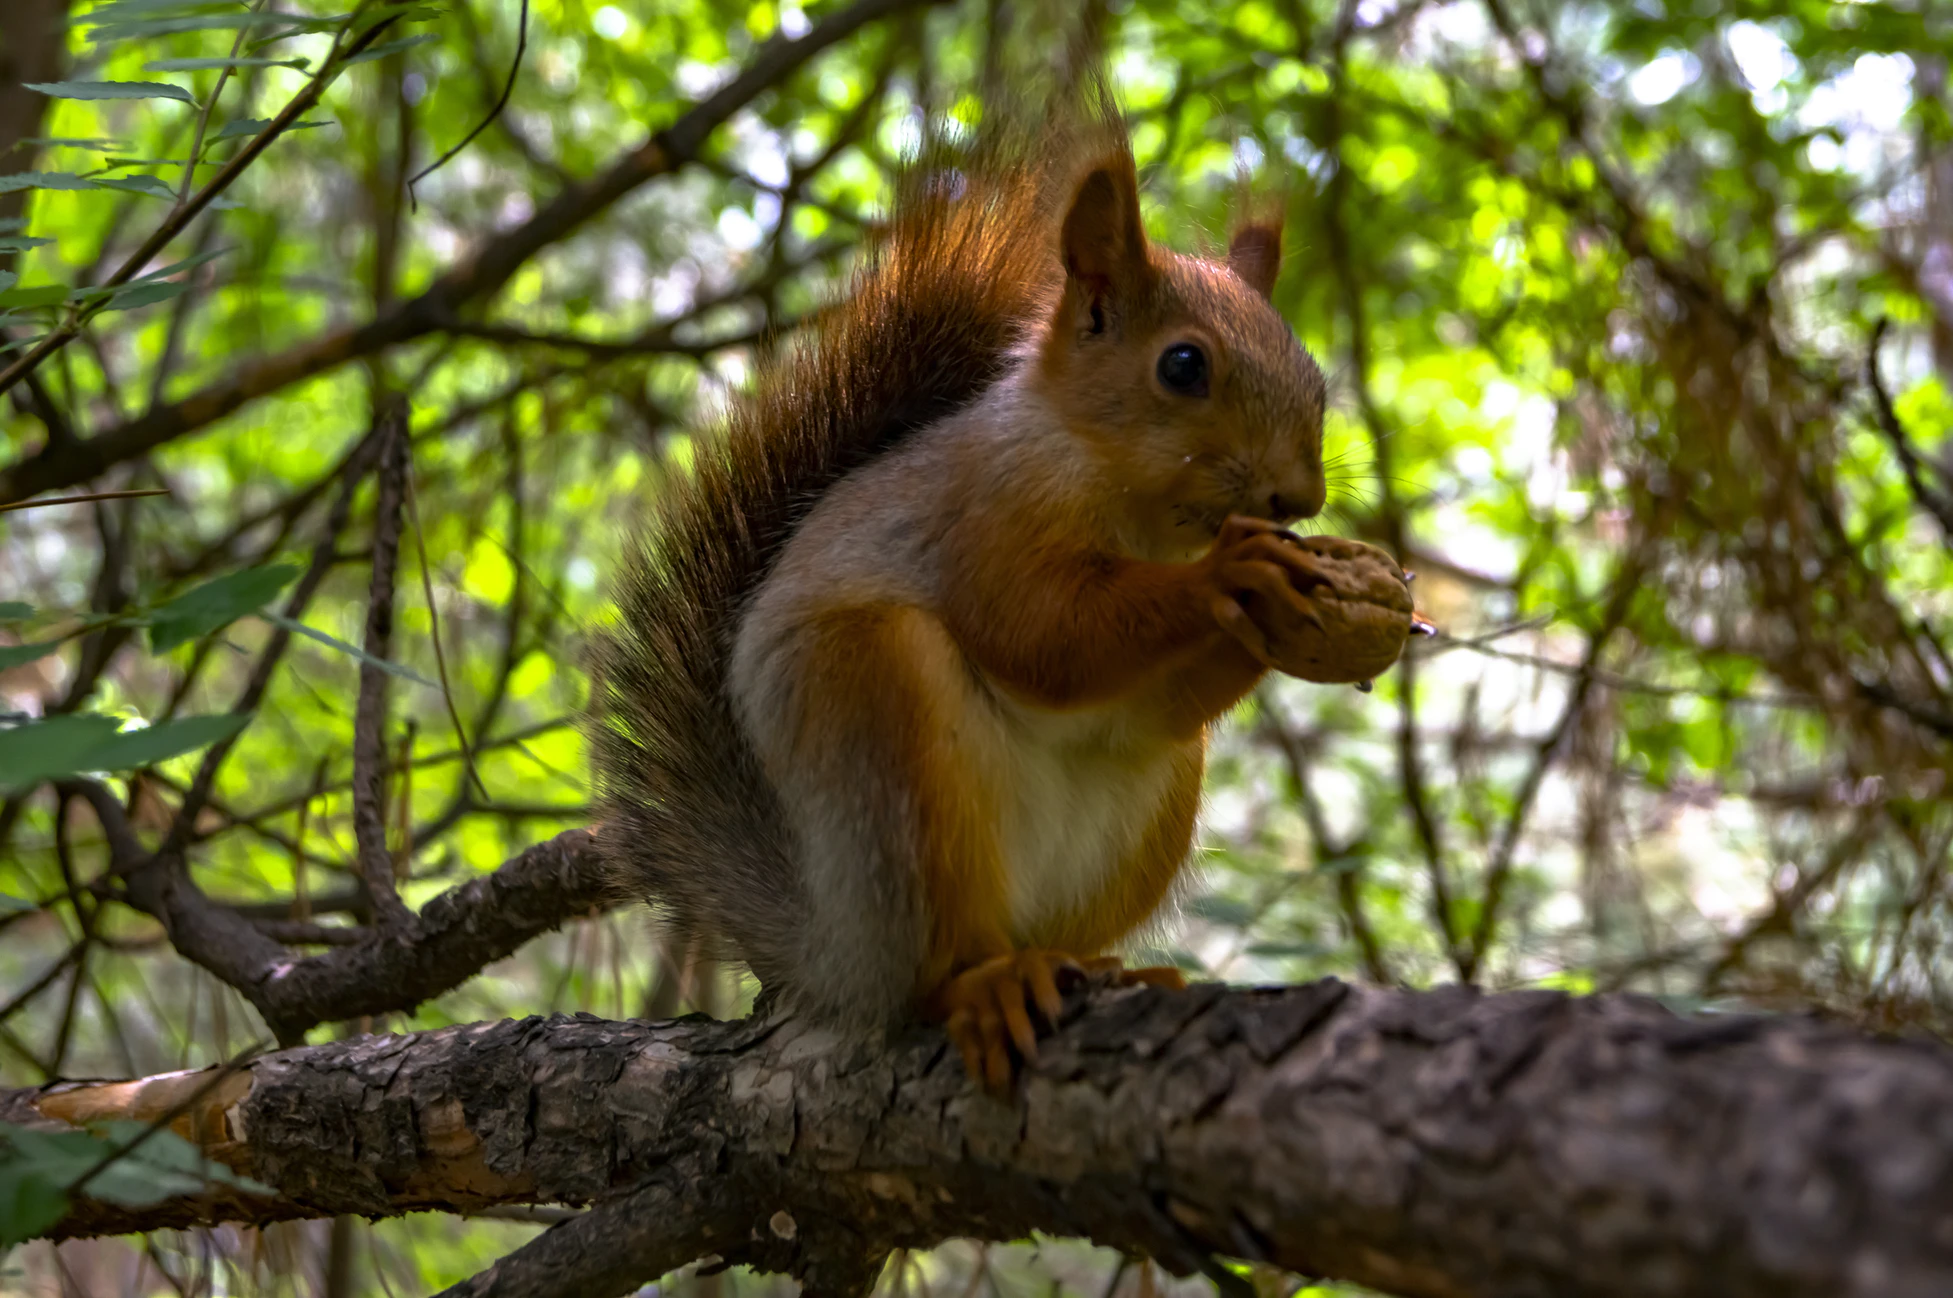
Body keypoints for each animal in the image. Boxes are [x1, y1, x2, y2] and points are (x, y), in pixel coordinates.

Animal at [585, 103, 1413, 1093]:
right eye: (1181, 366)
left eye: (1315, 378)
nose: (1299, 498)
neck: (1137, 510)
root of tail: (829, 958)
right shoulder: (982, 517)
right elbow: (1039, 636)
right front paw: (1230, 576)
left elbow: (1144, 695)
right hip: (879, 735)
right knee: (937, 965)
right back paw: (988, 984)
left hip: (1143, 816)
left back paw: (1101, 967)